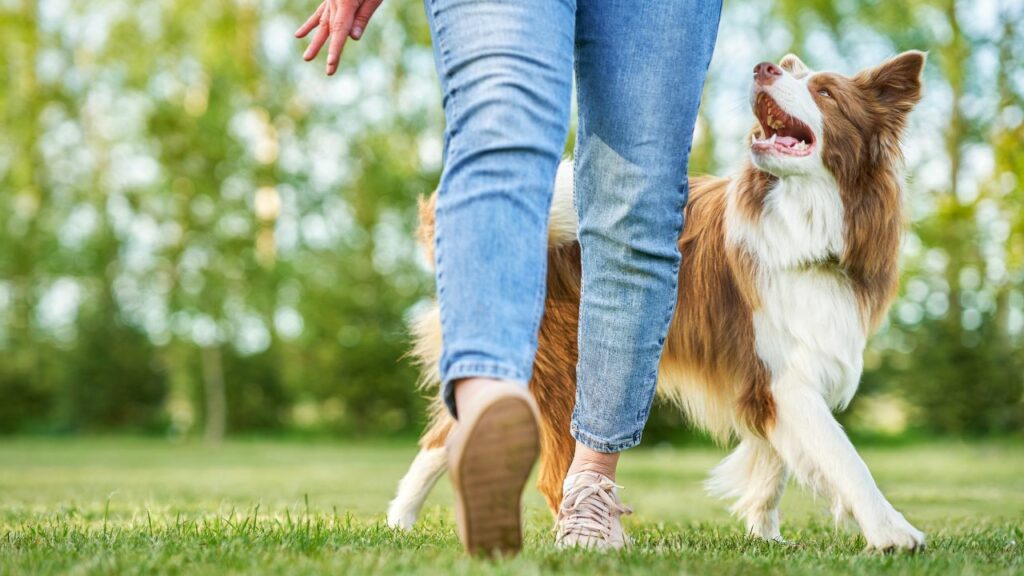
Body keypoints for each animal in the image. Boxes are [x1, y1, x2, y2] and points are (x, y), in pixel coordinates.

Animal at [385, 51, 929, 549]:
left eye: (826, 93)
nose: (764, 67)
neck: (805, 222)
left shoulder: (776, 372)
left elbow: (775, 463)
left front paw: (766, 535)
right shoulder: (783, 376)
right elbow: (843, 457)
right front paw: (893, 532)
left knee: (446, 435)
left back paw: (399, 521)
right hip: (559, 372)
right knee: (547, 472)